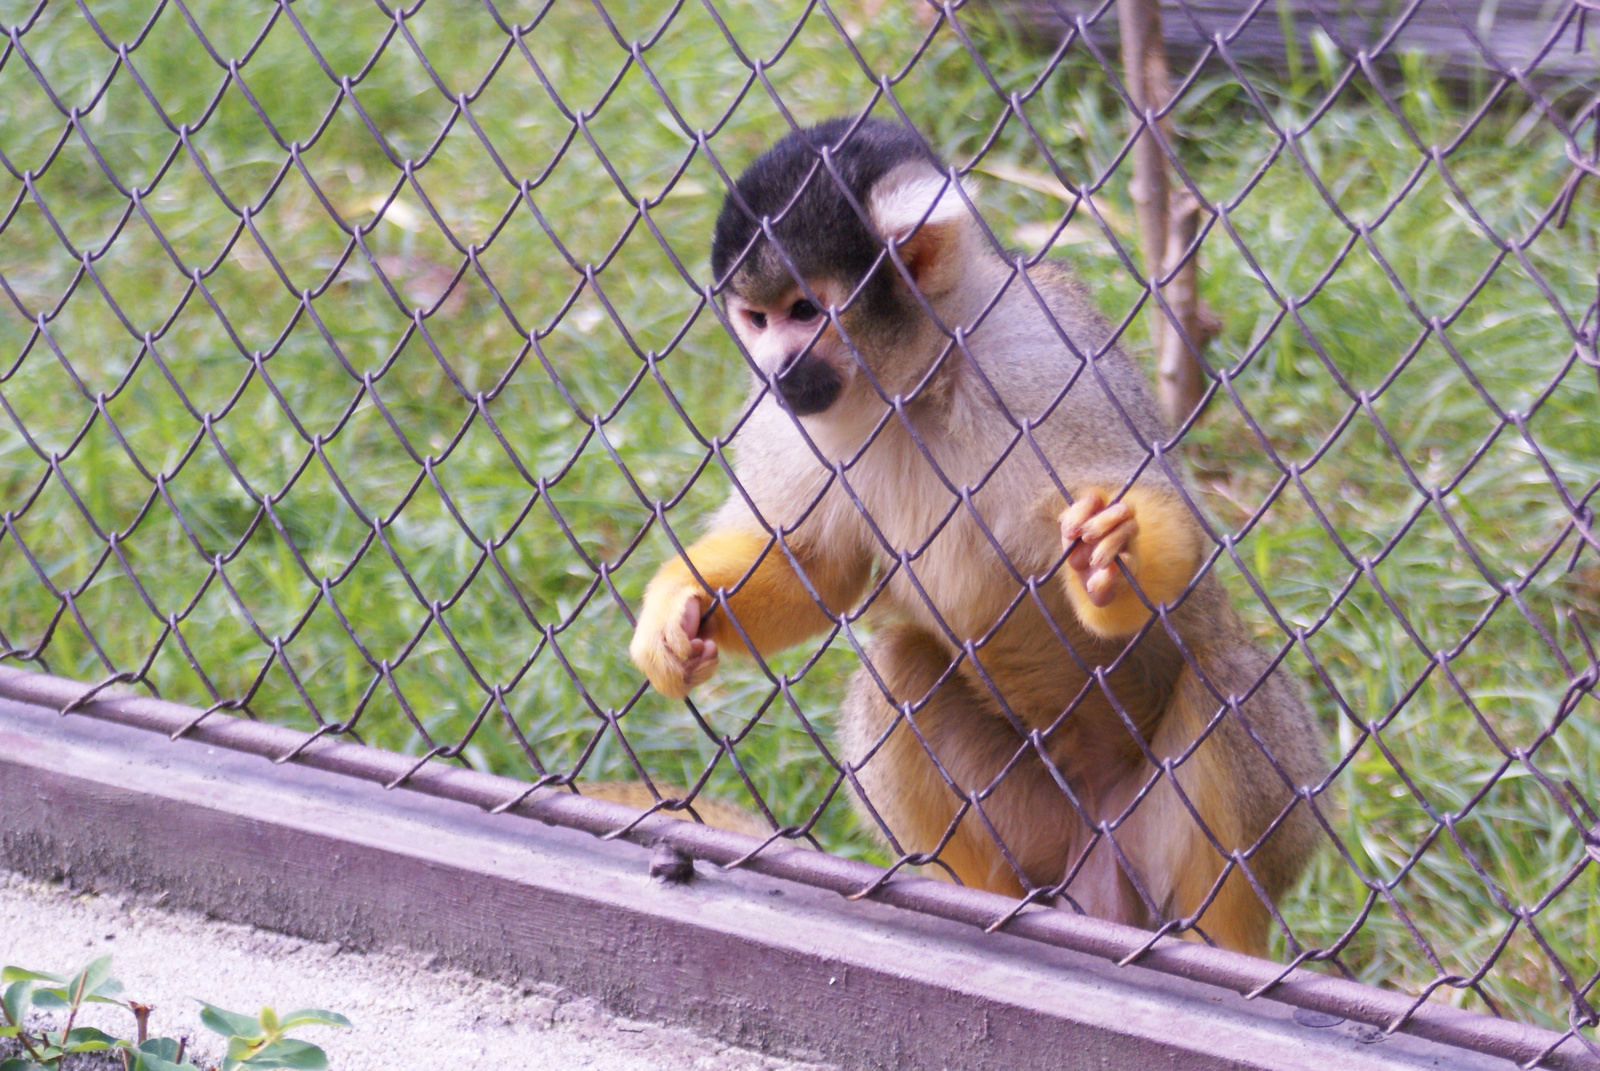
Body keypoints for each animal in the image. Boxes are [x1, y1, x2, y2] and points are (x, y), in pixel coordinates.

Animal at [624, 115, 1324, 954]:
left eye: (803, 311)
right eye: (755, 319)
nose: (775, 365)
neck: (917, 384)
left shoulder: (1046, 353)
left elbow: (1166, 514)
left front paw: (1113, 561)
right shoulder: (785, 417)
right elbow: (813, 569)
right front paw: (677, 609)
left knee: (1229, 678)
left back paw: (1213, 941)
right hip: (1039, 833)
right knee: (895, 674)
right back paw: (987, 903)